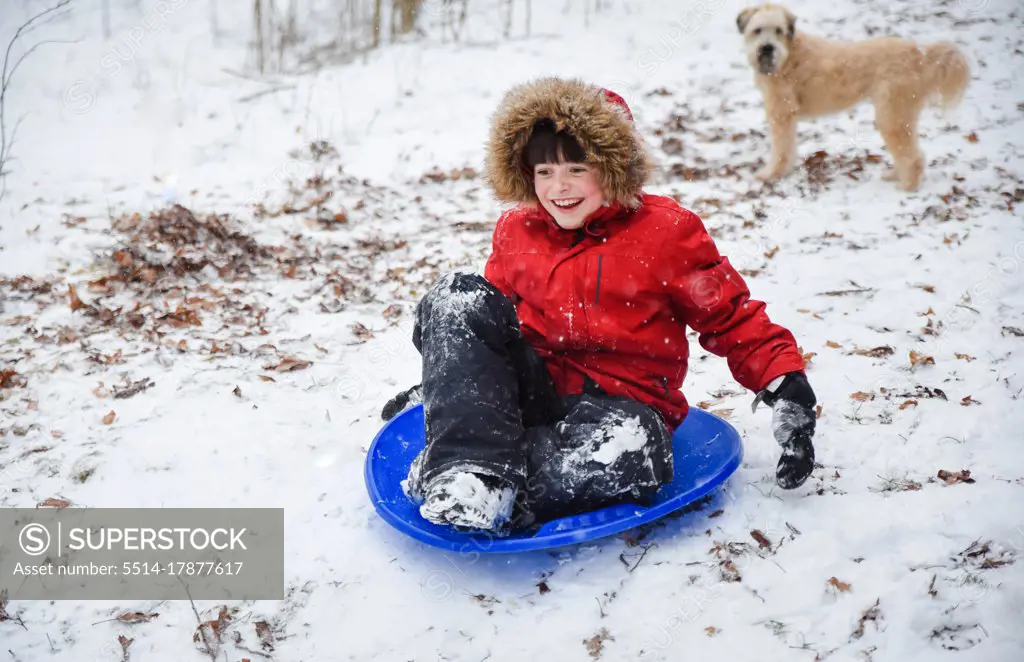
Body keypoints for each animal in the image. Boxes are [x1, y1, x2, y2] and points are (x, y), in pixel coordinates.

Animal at [737, 4, 966, 191]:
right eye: (757, 30)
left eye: (778, 30)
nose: (767, 48)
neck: (787, 56)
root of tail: (919, 55)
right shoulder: (786, 117)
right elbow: (789, 147)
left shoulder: (781, 113)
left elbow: (780, 149)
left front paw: (771, 174)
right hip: (899, 116)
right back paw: (895, 175)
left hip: (892, 115)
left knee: (913, 157)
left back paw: (908, 186)